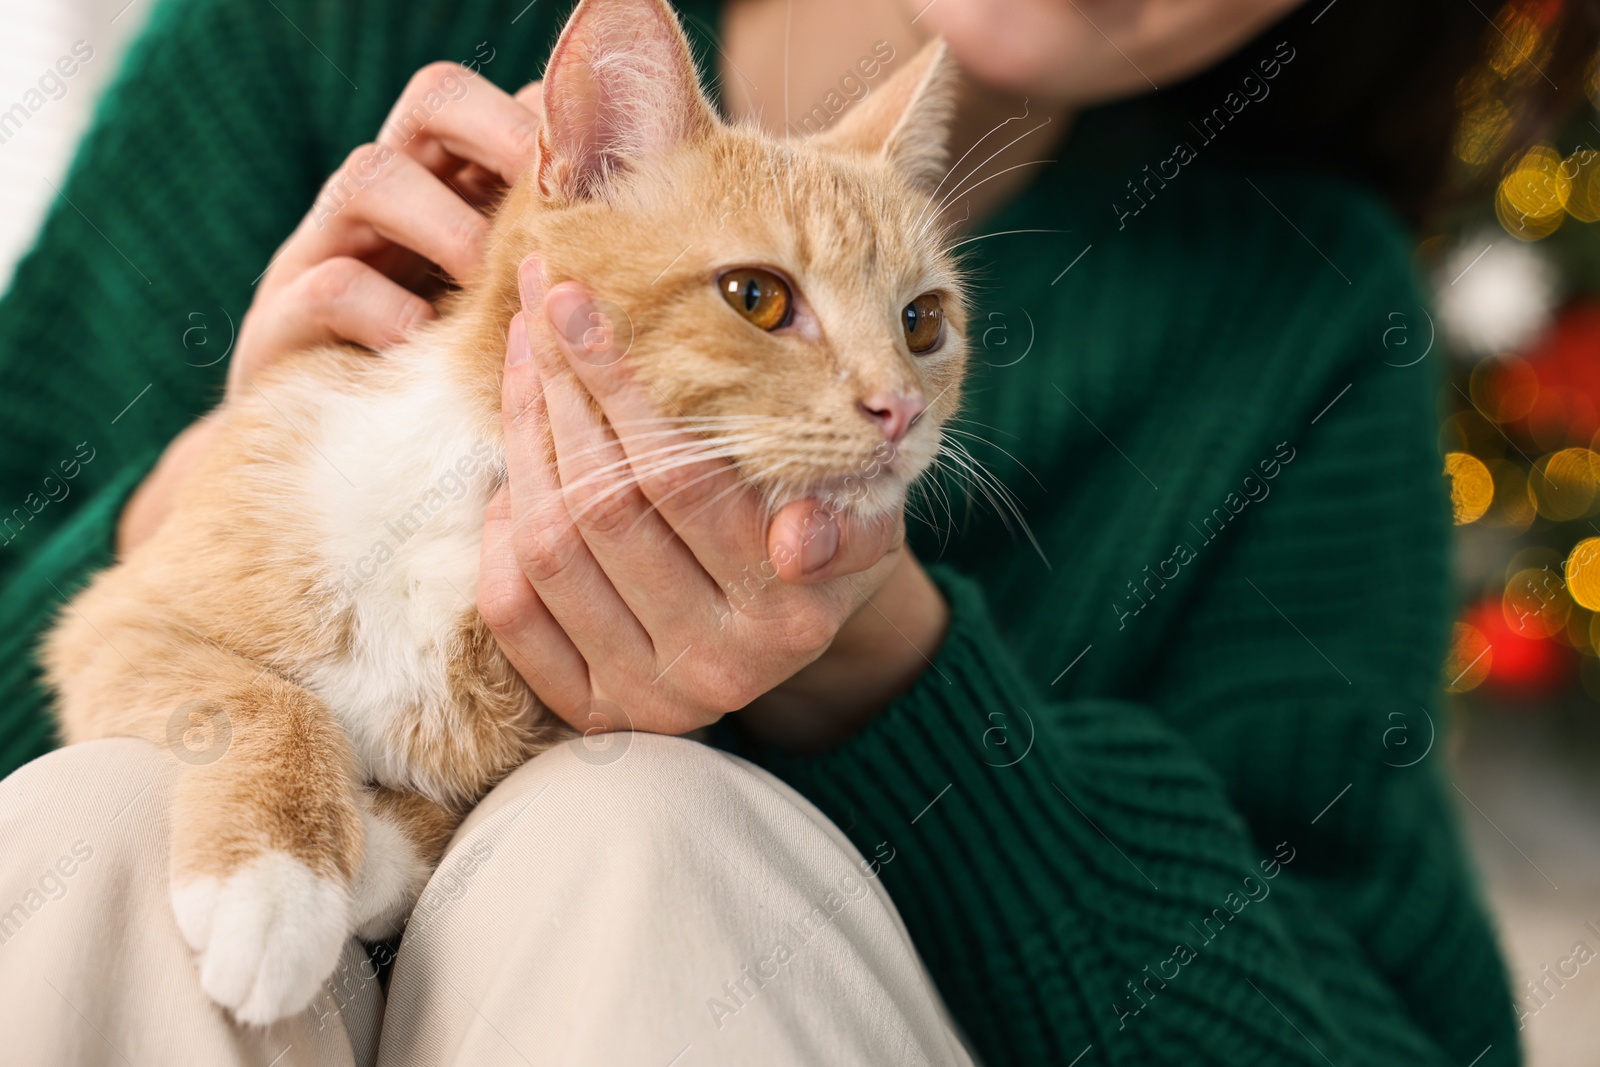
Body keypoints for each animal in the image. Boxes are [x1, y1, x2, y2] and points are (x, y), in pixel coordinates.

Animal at [40, 0, 960, 1023]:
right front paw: (274, 884)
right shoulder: (110, 622)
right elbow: (270, 699)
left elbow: (437, 816)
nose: (900, 408)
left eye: (923, 322)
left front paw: (352, 860)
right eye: (756, 296)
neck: (473, 504)